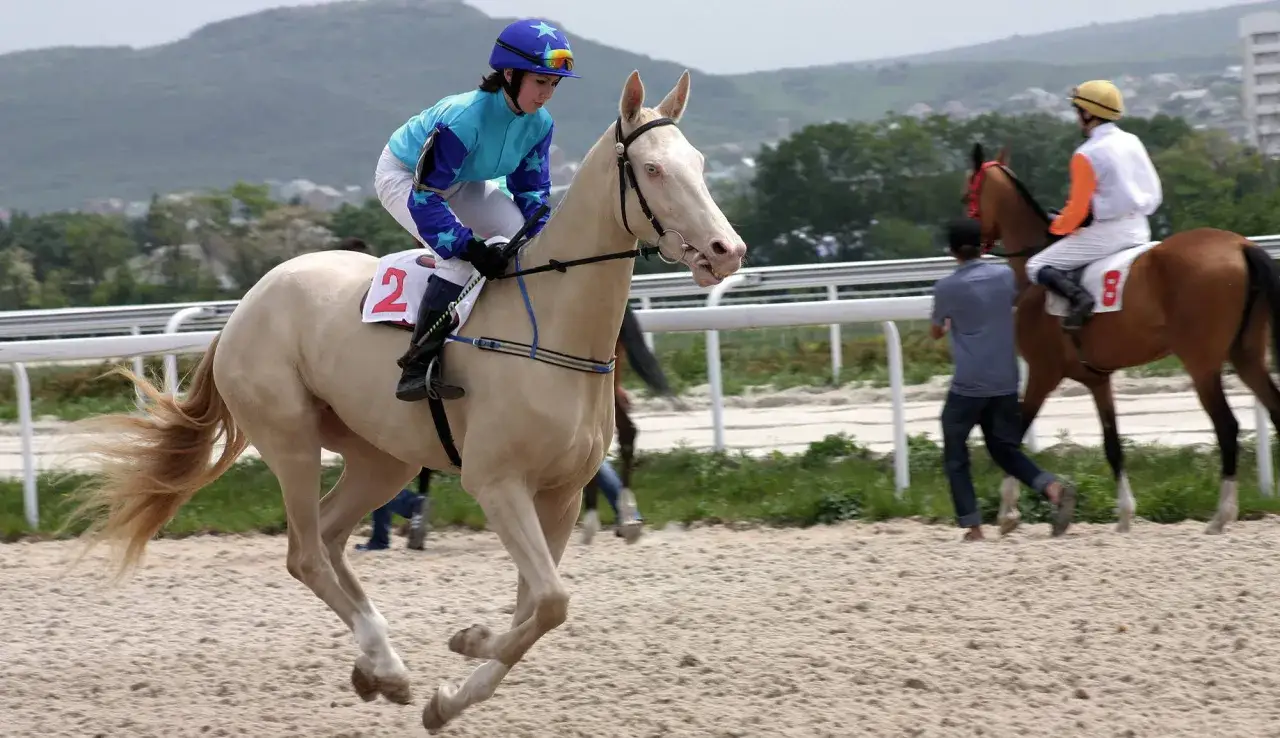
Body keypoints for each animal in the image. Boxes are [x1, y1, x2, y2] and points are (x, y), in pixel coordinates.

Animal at [62, 69, 747, 733]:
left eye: (699, 162)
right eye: (653, 169)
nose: (727, 251)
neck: (552, 331)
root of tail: (243, 309)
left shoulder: (560, 493)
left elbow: (538, 605)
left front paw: (457, 684)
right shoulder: (496, 483)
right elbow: (550, 601)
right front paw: (467, 645)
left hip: (380, 456)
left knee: (332, 536)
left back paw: (374, 664)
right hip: (290, 438)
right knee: (306, 554)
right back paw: (387, 664)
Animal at [965, 142, 1280, 536]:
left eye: (968, 194)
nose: (968, 240)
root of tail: (1239, 246)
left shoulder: (1042, 372)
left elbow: (1014, 435)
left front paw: (1008, 513)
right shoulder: (1098, 380)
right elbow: (1112, 443)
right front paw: (1126, 515)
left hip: (1202, 363)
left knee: (1227, 426)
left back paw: (1221, 515)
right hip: (1247, 355)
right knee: (1276, 409)